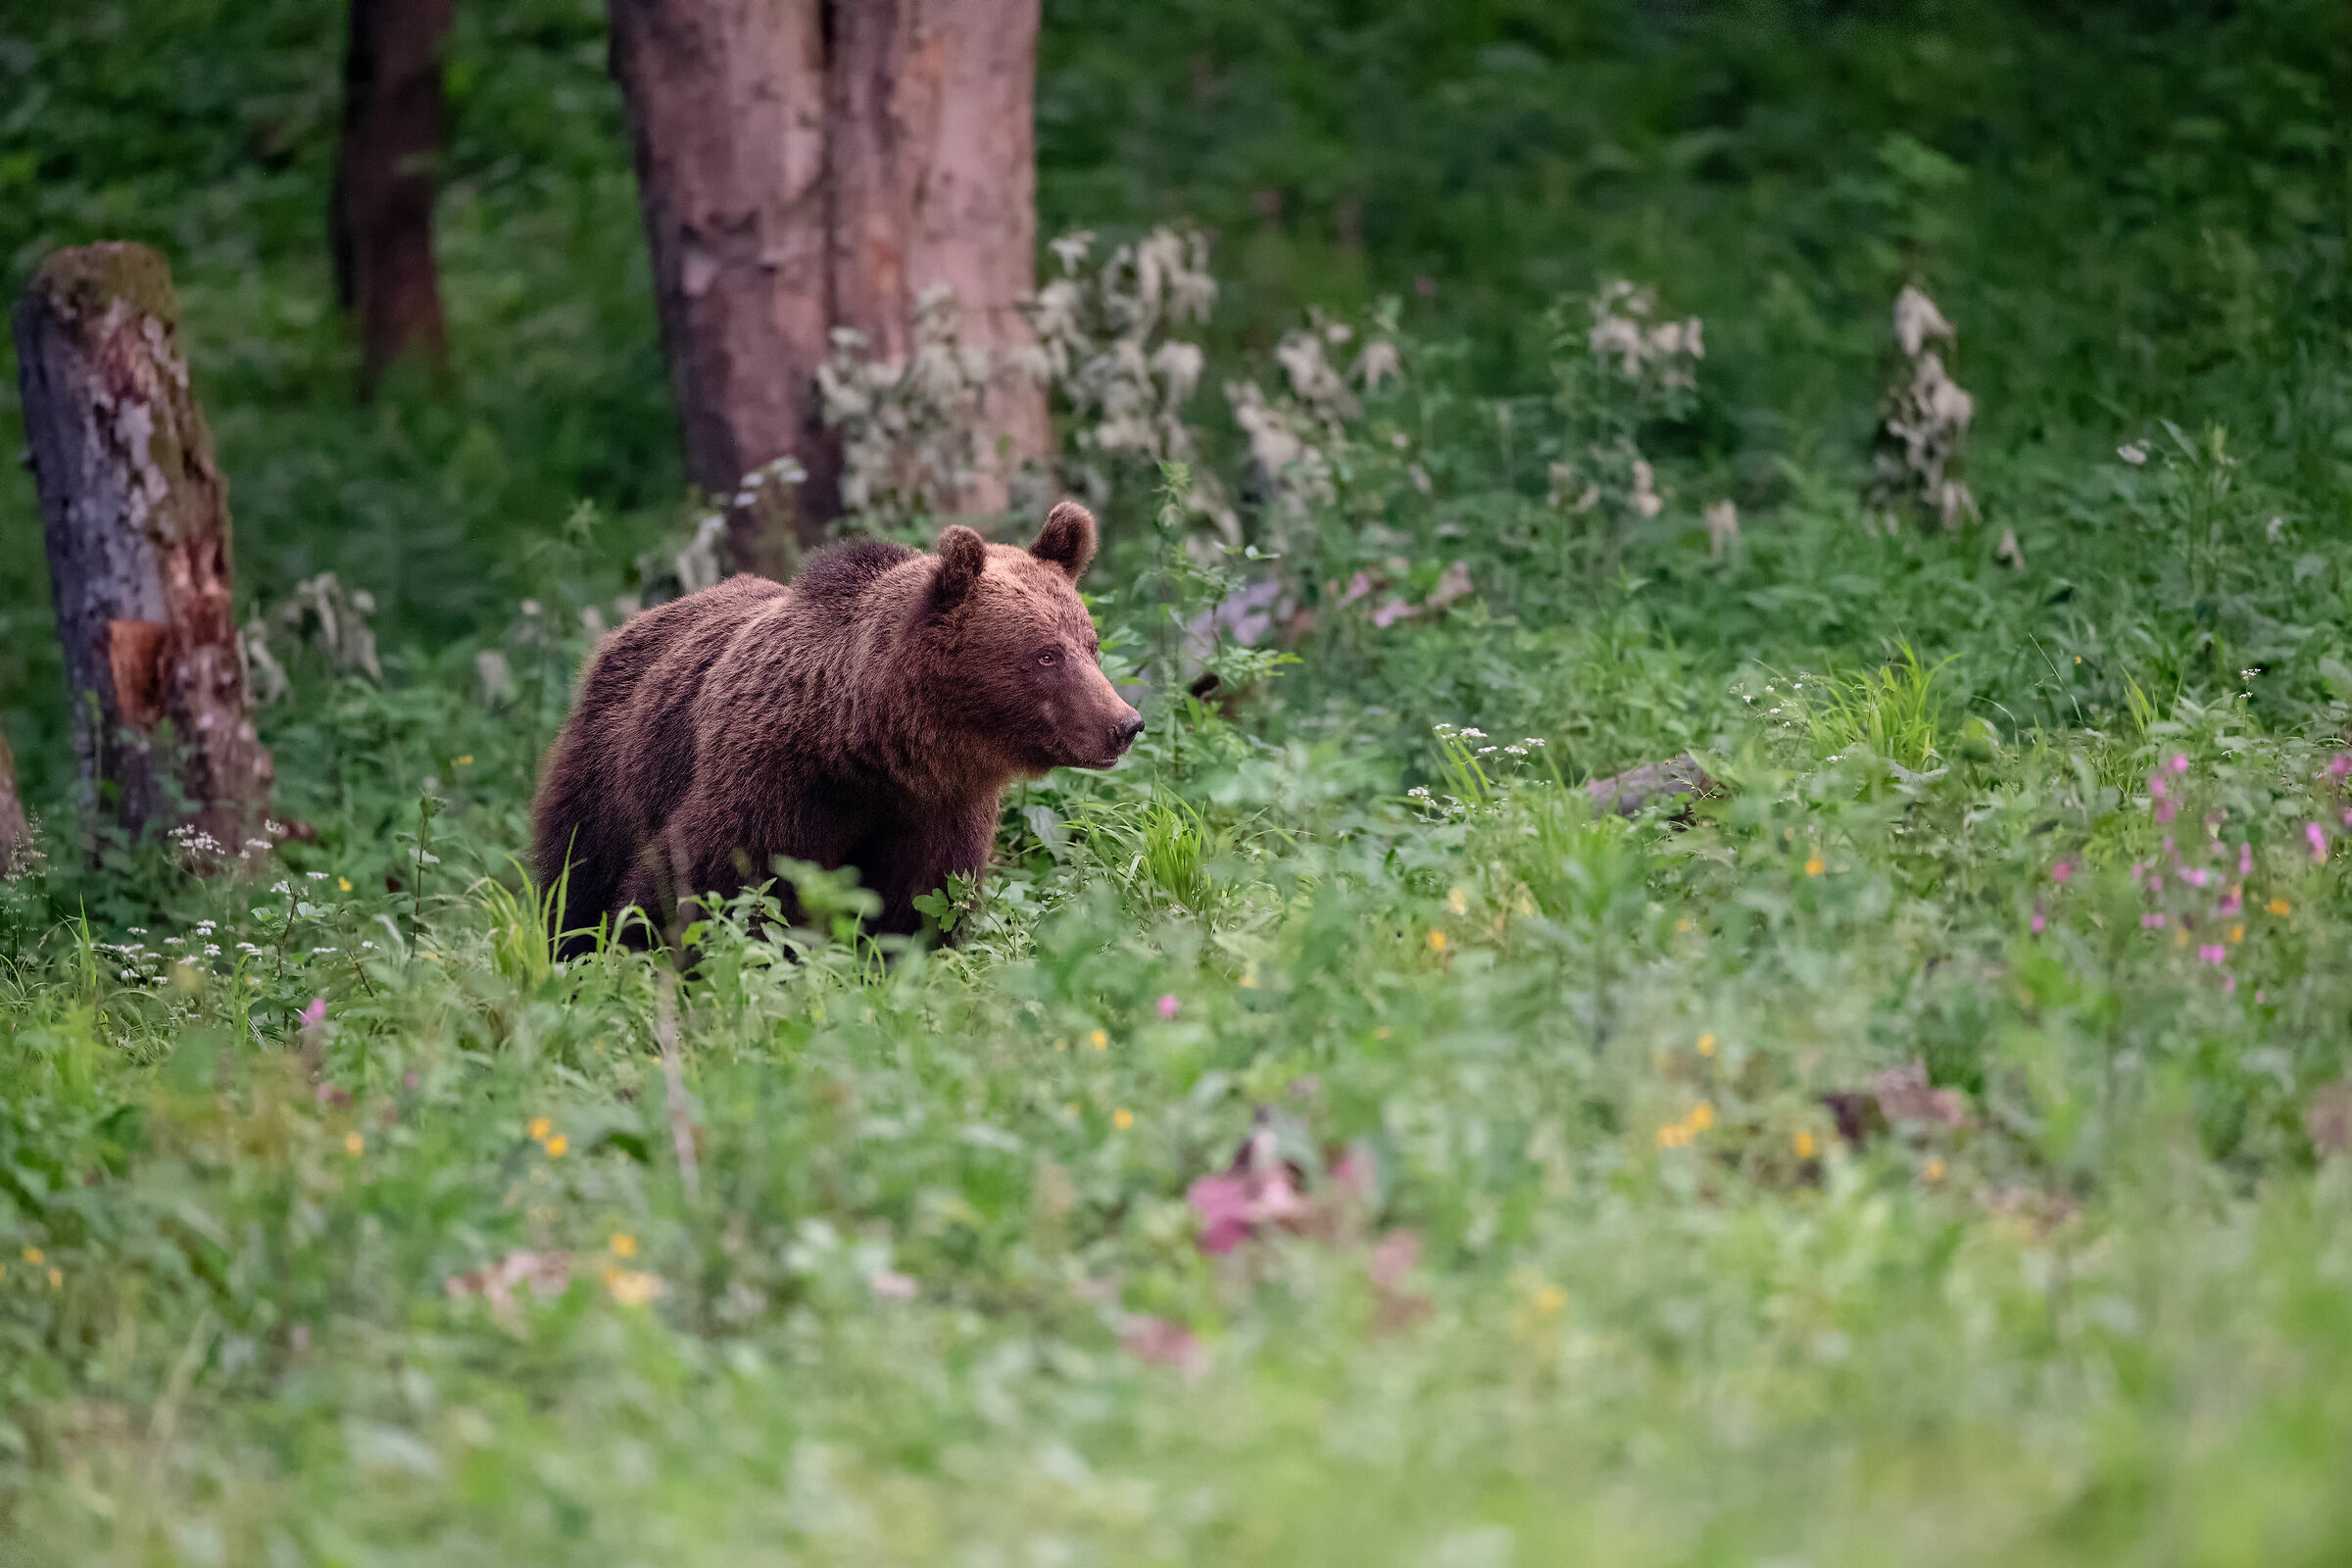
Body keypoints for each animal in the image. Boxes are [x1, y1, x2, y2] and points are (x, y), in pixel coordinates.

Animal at [531, 500, 1142, 951]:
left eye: (1089, 645)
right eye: (1046, 655)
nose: (1125, 723)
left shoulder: (936, 814)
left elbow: (917, 912)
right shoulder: (769, 790)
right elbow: (695, 892)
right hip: (611, 773)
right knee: (575, 874)